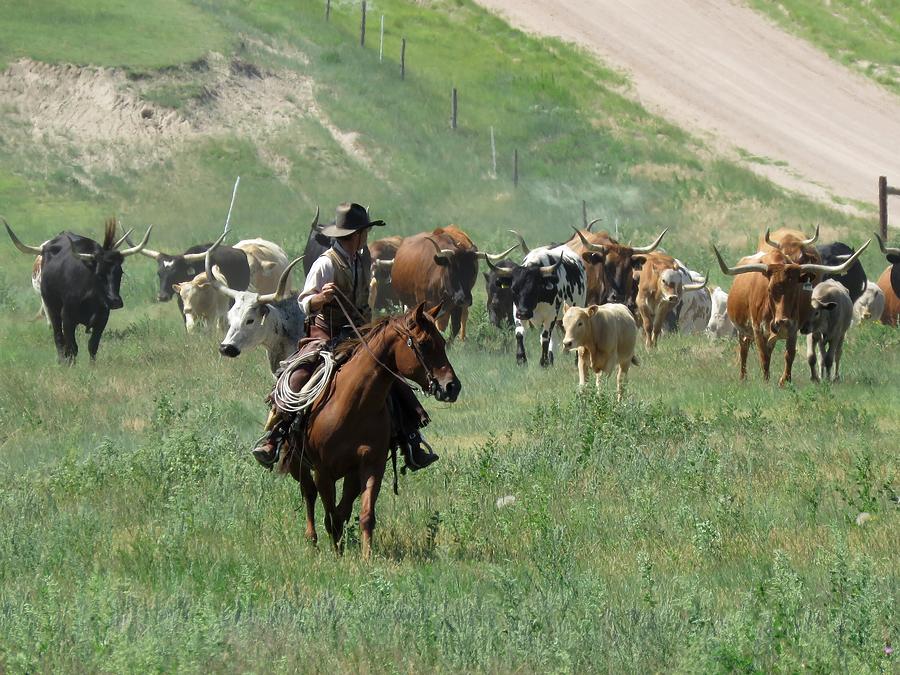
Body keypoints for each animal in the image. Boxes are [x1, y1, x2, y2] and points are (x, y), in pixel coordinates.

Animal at [278, 304, 460, 556]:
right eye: (423, 343)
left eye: (442, 342)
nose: (452, 386)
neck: (352, 405)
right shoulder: (323, 471)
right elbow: (329, 512)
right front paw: (337, 553)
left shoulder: (371, 465)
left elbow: (362, 514)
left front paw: (365, 556)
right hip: (298, 464)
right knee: (309, 495)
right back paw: (311, 540)